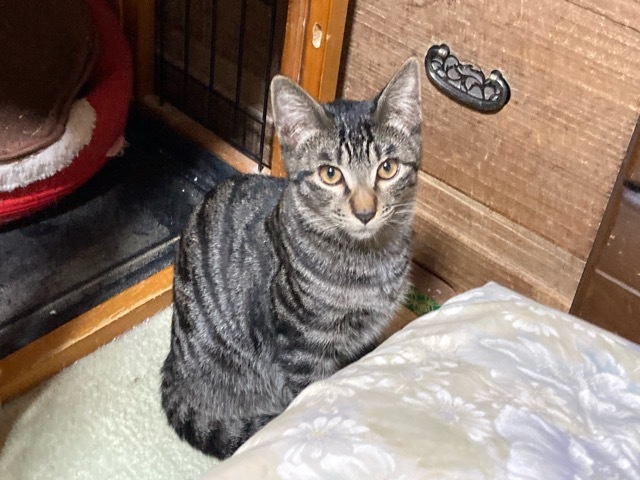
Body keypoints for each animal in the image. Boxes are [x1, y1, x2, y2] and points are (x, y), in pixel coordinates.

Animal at [161, 57, 422, 459]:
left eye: (387, 168)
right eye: (330, 174)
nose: (365, 212)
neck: (368, 262)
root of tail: (172, 368)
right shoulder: (302, 348)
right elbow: (314, 394)